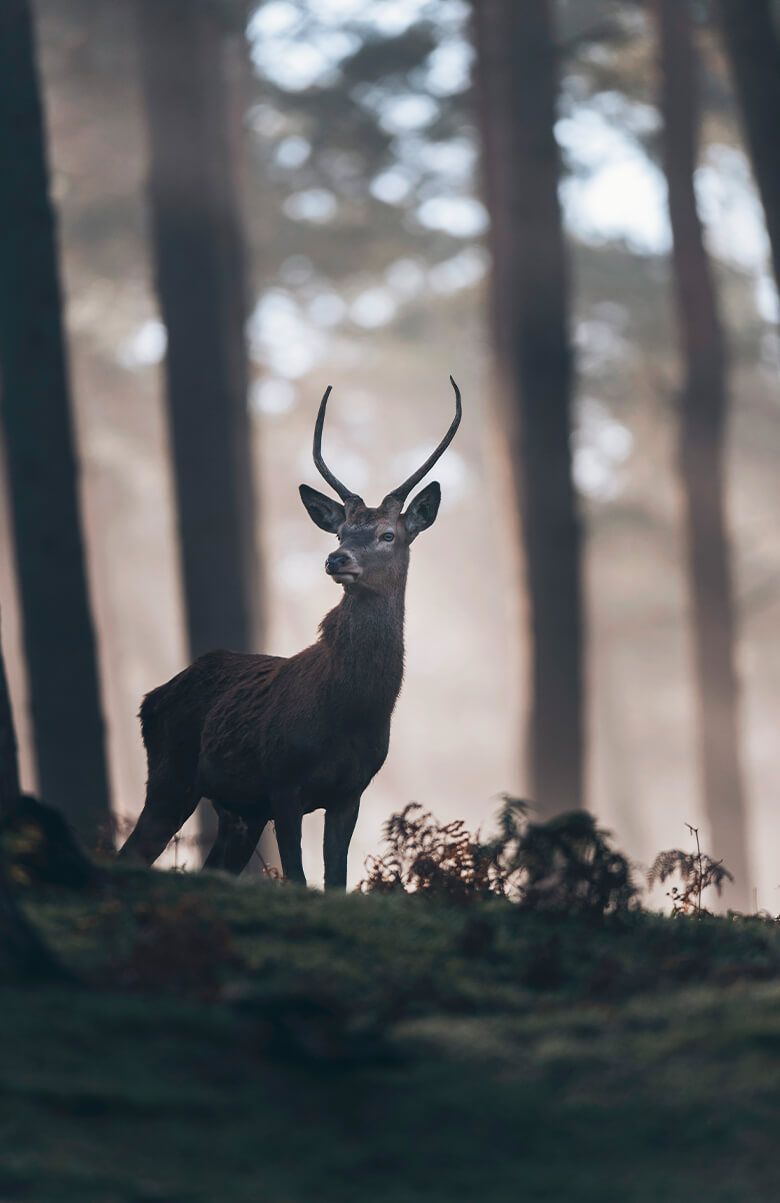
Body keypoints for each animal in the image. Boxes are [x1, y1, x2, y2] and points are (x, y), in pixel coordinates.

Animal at [118, 378, 462, 889]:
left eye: (387, 535)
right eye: (339, 532)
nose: (336, 559)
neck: (350, 712)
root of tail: (150, 698)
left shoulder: (350, 791)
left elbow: (336, 882)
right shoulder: (282, 780)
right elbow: (298, 877)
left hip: (238, 809)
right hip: (170, 772)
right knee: (133, 851)